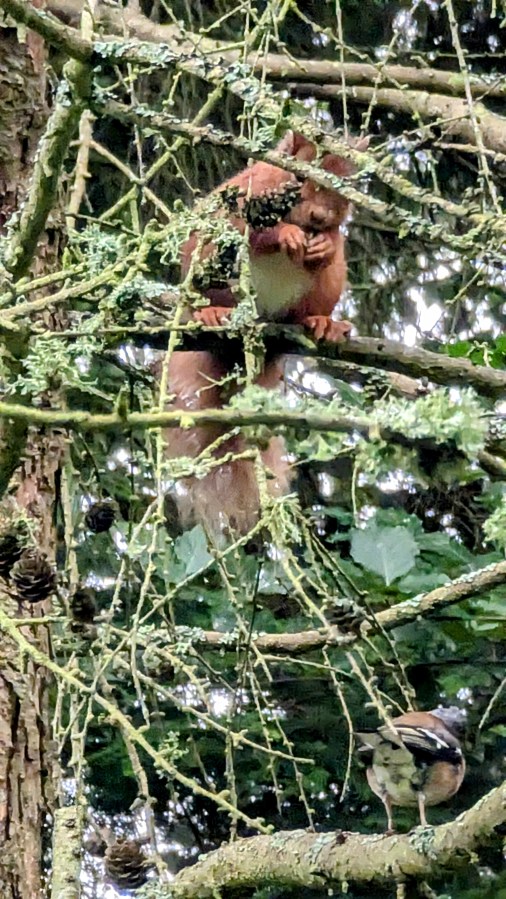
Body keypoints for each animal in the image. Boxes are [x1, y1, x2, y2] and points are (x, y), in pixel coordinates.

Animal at [160, 131, 366, 537]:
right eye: (298, 177)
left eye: (343, 189)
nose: (319, 217)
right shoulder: (241, 202)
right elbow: (254, 233)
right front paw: (285, 233)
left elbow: (333, 241)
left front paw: (324, 242)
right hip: (207, 265)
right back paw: (211, 313)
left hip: (327, 287)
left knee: (314, 298)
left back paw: (322, 322)